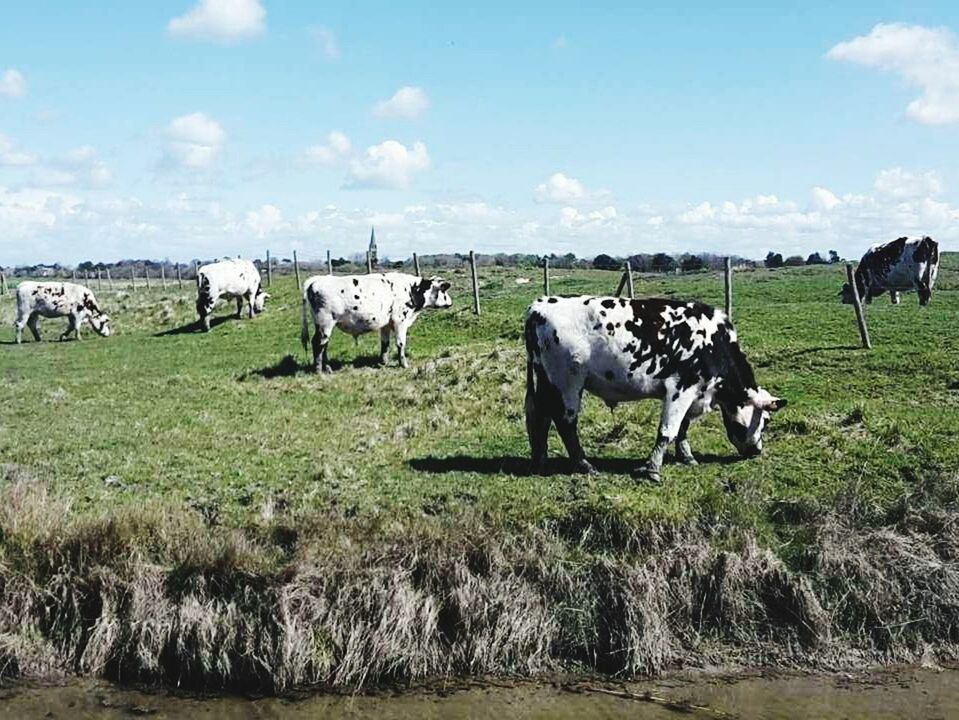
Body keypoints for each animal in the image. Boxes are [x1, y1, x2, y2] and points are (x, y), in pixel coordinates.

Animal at [300, 272, 454, 374]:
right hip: (325, 322)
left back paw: (327, 368)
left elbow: (385, 344)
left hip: (322, 325)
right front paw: (403, 364)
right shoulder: (400, 321)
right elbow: (400, 343)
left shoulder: (385, 324)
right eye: (443, 290)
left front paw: (383, 362)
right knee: (318, 343)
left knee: (324, 345)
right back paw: (319, 370)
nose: (450, 303)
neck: (412, 289)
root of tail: (317, 280)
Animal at [524, 296, 788, 480]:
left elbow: (683, 427)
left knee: (541, 416)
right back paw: (584, 464)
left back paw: (540, 459)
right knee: (565, 422)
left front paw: (686, 456)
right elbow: (668, 430)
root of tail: (540, 305)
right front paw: (653, 468)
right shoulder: (681, 388)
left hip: (546, 380)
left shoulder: (692, 393)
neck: (714, 343)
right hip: (567, 382)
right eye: (765, 421)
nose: (757, 451)